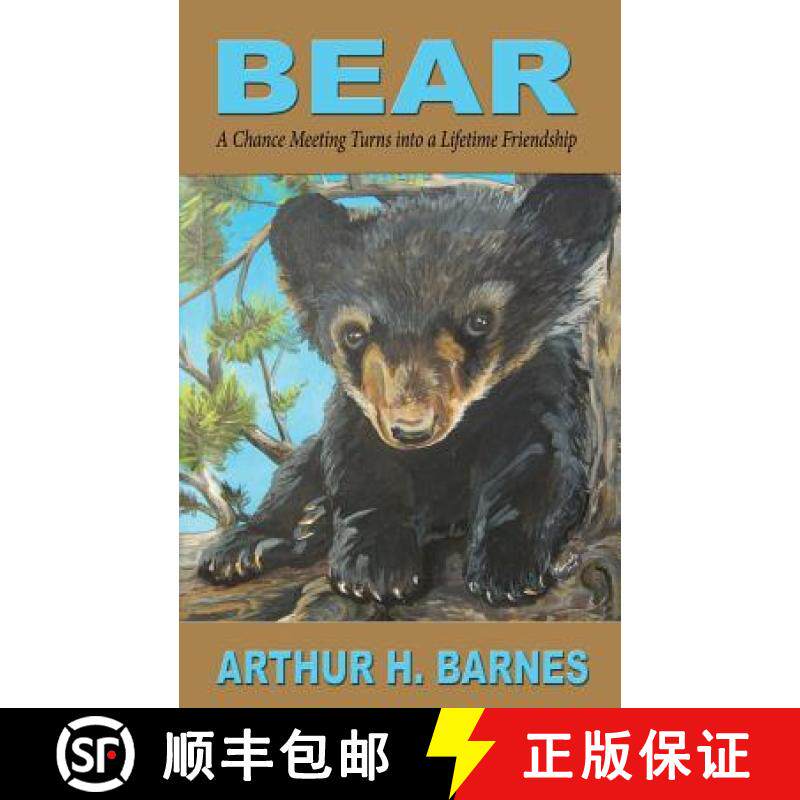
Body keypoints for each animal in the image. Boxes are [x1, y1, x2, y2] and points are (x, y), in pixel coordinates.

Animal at [197, 174, 619, 606]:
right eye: (353, 334)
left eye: (480, 320)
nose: (412, 429)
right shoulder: (358, 410)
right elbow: (361, 468)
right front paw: (372, 566)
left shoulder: (539, 389)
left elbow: (539, 467)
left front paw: (507, 567)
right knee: (291, 477)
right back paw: (254, 543)